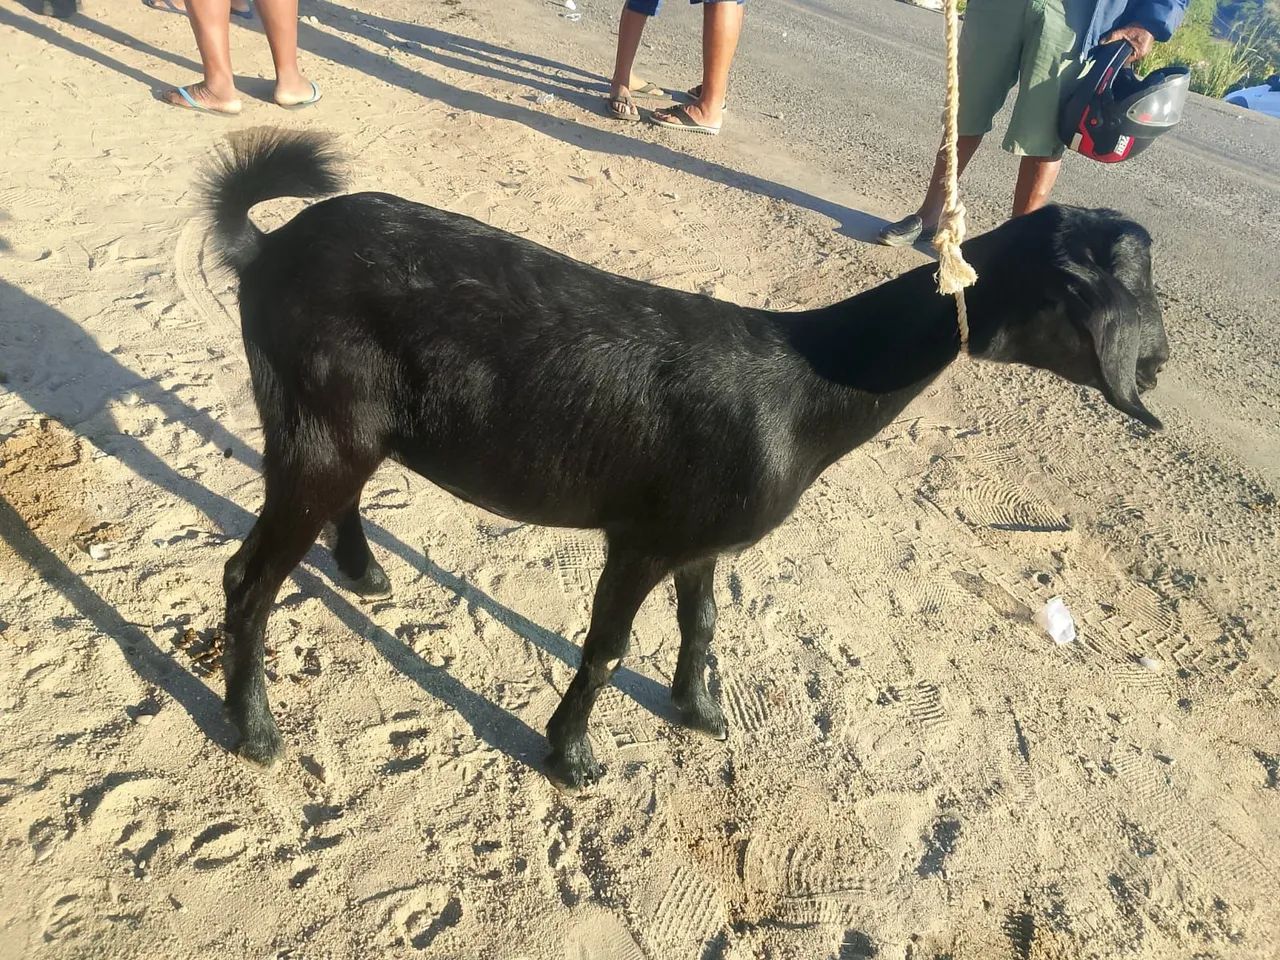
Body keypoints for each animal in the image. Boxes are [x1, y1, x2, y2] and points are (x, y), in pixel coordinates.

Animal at [203, 128, 1169, 791]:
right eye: (1096, 292)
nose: (1156, 365)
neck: (808, 384)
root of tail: (268, 249)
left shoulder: (703, 542)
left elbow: (702, 624)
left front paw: (700, 712)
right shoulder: (644, 538)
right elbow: (606, 646)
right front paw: (572, 756)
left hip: (344, 428)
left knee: (335, 501)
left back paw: (363, 573)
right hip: (318, 424)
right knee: (248, 577)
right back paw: (254, 730)